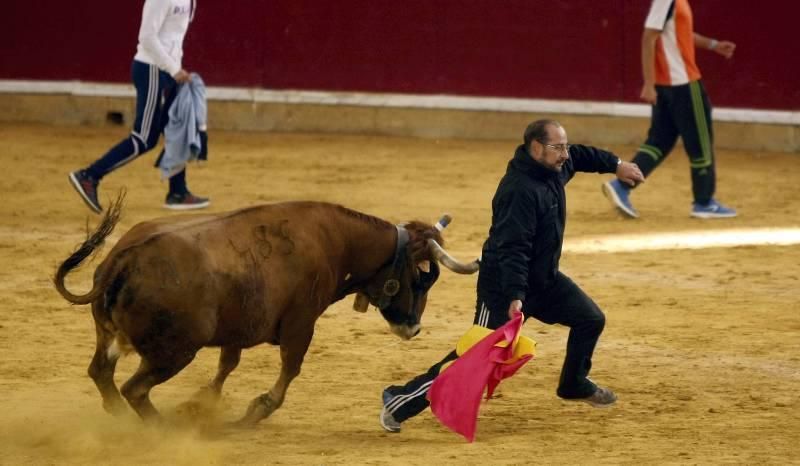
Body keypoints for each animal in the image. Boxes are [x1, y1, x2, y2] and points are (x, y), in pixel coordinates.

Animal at [57, 193, 482, 426]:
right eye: (422, 276)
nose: (414, 328)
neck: (336, 241)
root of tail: (125, 257)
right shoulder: (301, 322)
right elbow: (290, 369)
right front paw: (256, 409)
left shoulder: (240, 324)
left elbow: (227, 364)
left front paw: (202, 402)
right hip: (173, 352)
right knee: (134, 388)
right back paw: (160, 427)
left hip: (111, 337)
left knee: (101, 373)